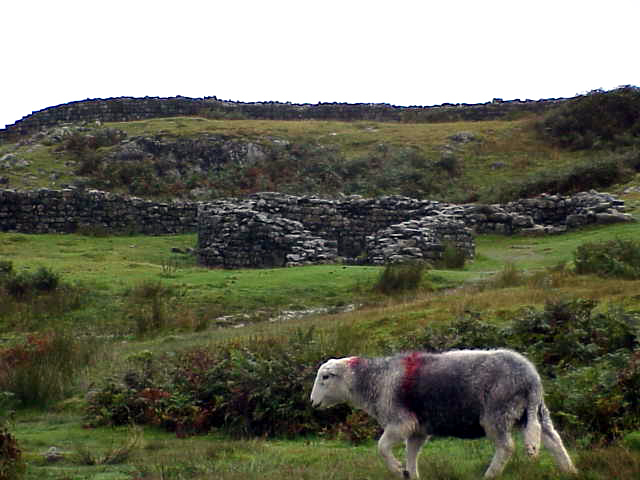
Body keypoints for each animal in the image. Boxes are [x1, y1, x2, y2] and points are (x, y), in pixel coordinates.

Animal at [310, 349, 577, 479]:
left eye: (325, 377)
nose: (312, 402)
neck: (374, 380)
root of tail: (530, 377)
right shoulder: (418, 429)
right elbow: (412, 454)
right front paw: (409, 474)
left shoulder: (400, 422)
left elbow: (382, 448)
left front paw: (397, 469)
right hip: (535, 412)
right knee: (553, 440)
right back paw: (570, 471)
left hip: (497, 413)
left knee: (506, 448)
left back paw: (490, 475)